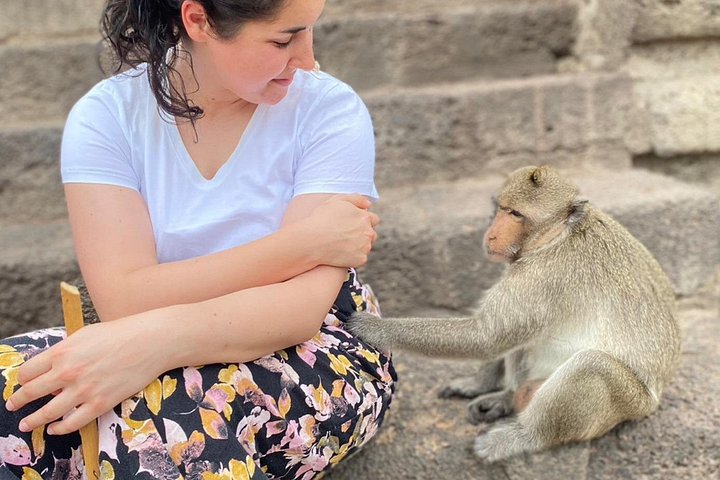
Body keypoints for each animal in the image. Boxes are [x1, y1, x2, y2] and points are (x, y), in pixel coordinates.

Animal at [347, 165, 681, 462]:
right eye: (501, 208)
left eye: (517, 214)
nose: (492, 235)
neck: (559, 235)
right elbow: (496, 335)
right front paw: (478, 383)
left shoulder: (542, 276)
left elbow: (486, 336)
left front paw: (377, 329)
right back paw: (505, 396)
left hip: (630, 404)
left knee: (592, 365)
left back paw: (522, 437)